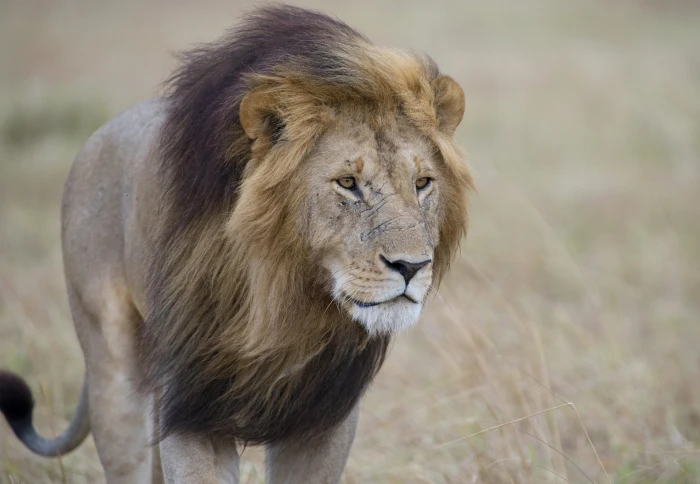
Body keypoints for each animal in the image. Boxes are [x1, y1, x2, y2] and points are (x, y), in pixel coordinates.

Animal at [0, 5, 471, 483]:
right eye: (347, 183)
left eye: (422, 183)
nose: (412, 266)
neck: (282, 298)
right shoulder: (192, 399)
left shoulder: (323, 414)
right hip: (111, 371)